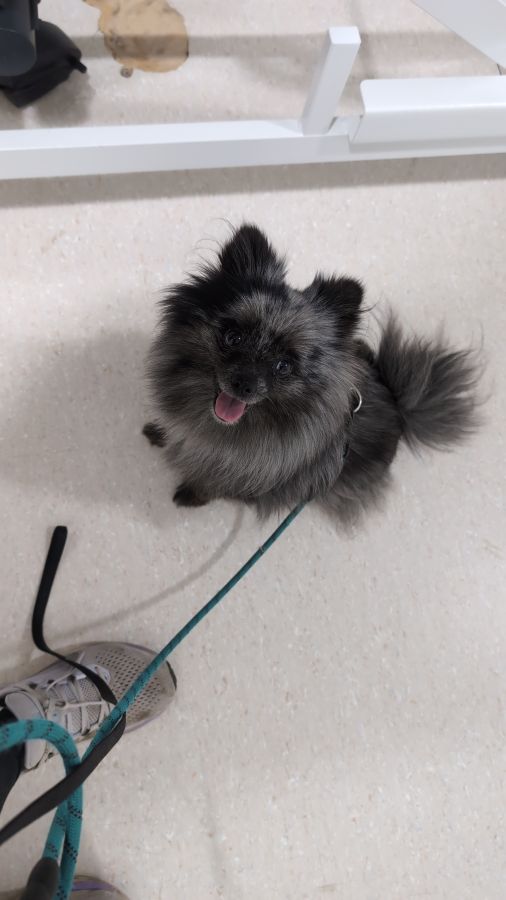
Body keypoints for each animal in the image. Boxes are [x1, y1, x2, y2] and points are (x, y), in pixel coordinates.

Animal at [143, 224, 479, 522]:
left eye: (284, 366)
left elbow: (212, 483)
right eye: (233, 337)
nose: (244, 384)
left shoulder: (241, 471)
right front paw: (160, 433)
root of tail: (400, 406)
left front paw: (190, 495)